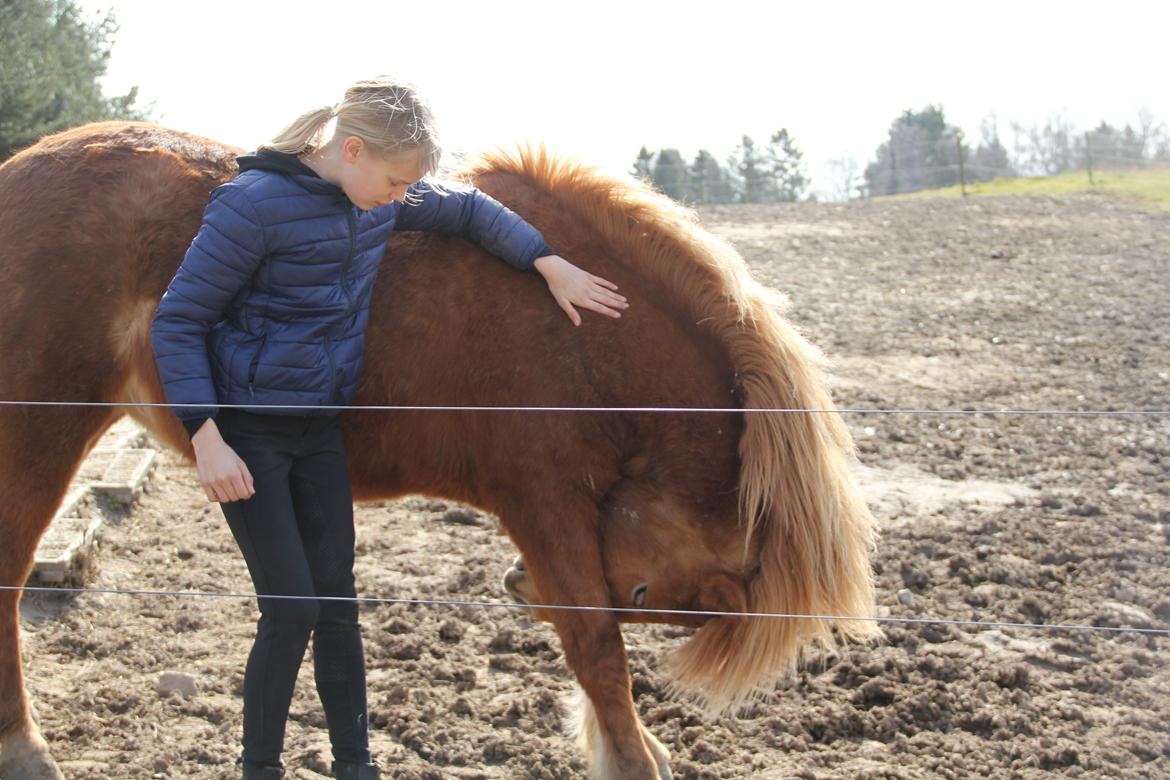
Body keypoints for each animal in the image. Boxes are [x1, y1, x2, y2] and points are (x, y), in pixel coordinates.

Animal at [0, 123, 879, 780]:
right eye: (642, 589)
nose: (518, 585)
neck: (587, 337)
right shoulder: (545, 503)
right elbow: (597, 647)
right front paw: (634, 761)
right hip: (42, 436)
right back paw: (25, 749)